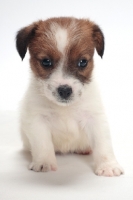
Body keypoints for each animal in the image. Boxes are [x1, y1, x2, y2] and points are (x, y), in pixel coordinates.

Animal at [16, 17, 123, 177]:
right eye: (46, 62)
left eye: (82, 62)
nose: (65, 90)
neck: (65, 108)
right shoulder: (37, 120)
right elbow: (43, 144)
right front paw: (44, 163)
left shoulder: (95, 118)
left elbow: (103, 144)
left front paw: (108, 166)